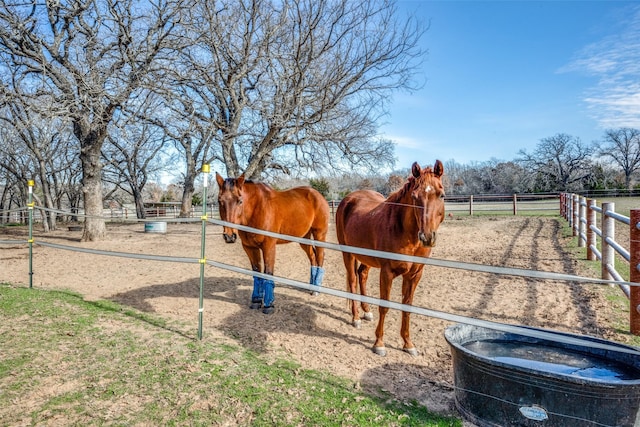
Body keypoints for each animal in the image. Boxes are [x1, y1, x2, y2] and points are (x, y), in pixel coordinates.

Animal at [216, 172, 330, 316]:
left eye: (239, 201)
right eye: (220, 201)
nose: (229, 236)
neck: (256, 209)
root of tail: (317, 195)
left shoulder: (268, 246)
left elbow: (268, 272)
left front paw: (268, 305)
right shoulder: (250, 248)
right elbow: (257, 273)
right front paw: (256, 301)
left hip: (319, 234)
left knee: (320, 256)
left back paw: (316, 289)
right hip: (303, 238)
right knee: (313, 257)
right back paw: (311, 286)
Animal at [336, 160, 444, 358]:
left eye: (441, 195)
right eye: (415, 197)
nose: (427, 237)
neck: (404, 231)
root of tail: (349, 199)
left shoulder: (415, 275)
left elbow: (407, 307)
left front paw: (408, 344)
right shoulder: (387, 273)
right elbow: (384, 306)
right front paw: (379, 344)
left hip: (367, 258)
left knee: (362, 275)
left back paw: (366, 312)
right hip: (347, 253)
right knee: (353, 280)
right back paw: (356, 318)